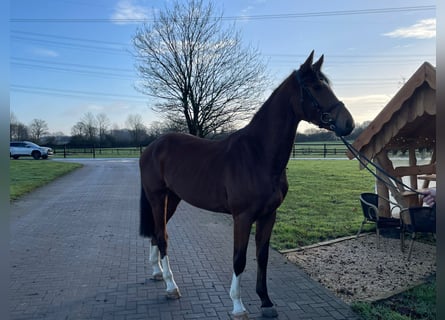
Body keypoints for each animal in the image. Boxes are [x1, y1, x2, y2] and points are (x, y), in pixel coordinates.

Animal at [139, 51, 354, 318]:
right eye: (316, 87)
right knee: (162, 236)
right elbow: (239, 259)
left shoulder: (269, 215)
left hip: (173, 199)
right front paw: (238, 305)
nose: (349, 123)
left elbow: (261, 257)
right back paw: (171, 285)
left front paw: (266, 301)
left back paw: (158, 273)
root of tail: (152, 147)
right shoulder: (242, 217)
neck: (258, 155)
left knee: (157, 234)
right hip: (158, 198)